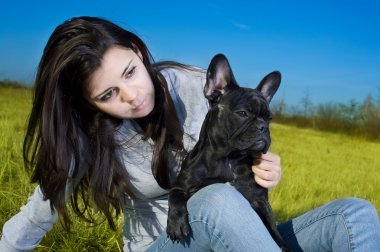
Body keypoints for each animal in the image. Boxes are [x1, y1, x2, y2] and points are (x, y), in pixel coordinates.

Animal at [166, 53, 288, 250]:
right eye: (243, 113)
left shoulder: (260, 200)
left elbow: (273, 229)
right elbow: (174, 196)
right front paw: (177, 224)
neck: (228, 158)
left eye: (269, 118)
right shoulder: (183, 186)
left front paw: (283, 244)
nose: (263, 127)